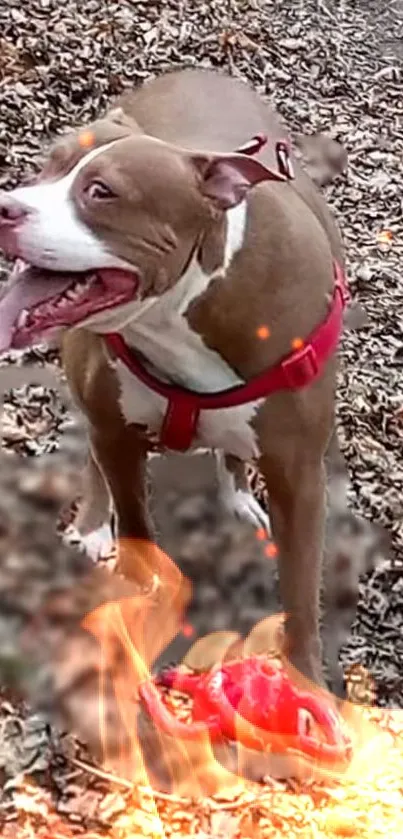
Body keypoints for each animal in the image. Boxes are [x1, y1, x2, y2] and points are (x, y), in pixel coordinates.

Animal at [0, 70, 350, 688]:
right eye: (48, 165)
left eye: (101, 192)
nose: (3, 207)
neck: (178, 308)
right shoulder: (116, 435)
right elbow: (136, 527)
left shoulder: (300, 476)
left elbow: (302, 590)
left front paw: (308, 683)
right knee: (94, 456)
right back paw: (93, 524)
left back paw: (238, 497)